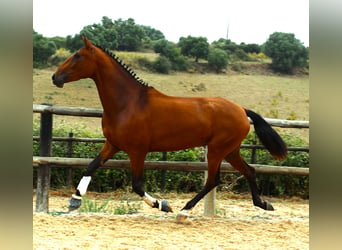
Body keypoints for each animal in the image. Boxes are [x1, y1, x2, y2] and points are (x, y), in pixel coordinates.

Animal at [52, 36, 288, 221]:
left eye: (77, 56)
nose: (55, 77)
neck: (128, 103)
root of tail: (241, 109)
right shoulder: (113, 144)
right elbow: (91, 166)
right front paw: (74, 201)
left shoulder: (137, 151)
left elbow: (136, 185)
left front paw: (163, 205)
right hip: (230, 150)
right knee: (249, 170)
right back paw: (263, 204)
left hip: (217, 150)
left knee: (213, 180)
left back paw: (184, 211)